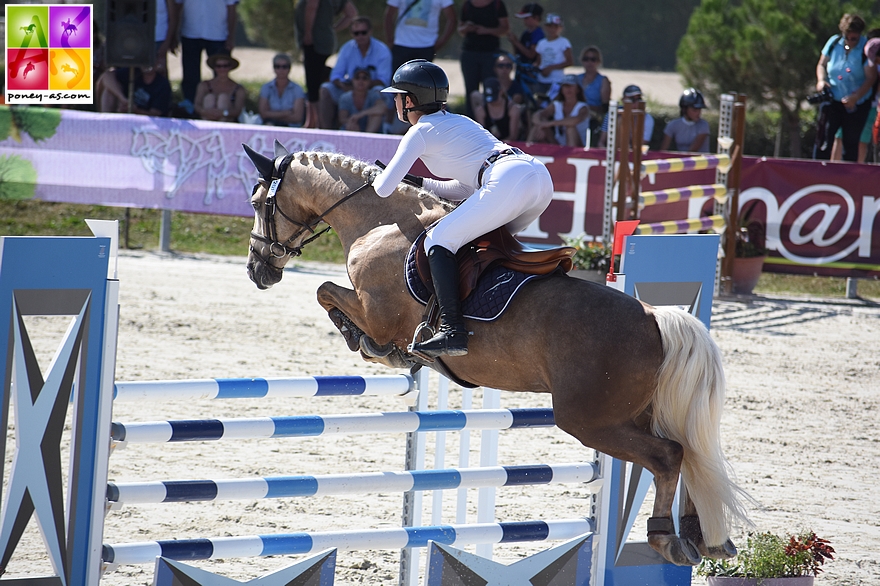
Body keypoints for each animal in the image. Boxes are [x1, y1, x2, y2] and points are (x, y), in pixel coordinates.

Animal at [242, 143, 748, 564]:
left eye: (256, 203)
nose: (256, 271)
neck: (378, 222)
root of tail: (655, 317)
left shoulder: (377, 312)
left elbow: (327, 293)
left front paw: (375, 348)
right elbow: (327, 293)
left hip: (590, 420)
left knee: (668, 456)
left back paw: (667, 538)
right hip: (638, 412)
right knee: (690, 453)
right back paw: (699, 536)